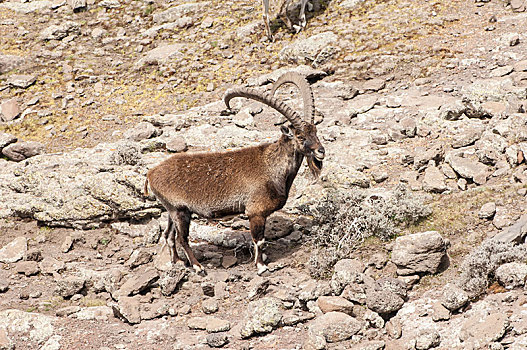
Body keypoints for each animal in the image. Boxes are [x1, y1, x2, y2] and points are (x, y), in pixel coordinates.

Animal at [145, 72, 326, 274]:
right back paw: (198, 267)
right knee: (181, 238)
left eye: (315, 131)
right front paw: (261, 266)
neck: (271, 166)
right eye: (300, 136)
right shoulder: (255, 212)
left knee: (168, 235)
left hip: (171, 210)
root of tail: (151, 174)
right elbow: (259, 240)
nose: (321, 151)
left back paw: (176, 262)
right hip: (180, 211)